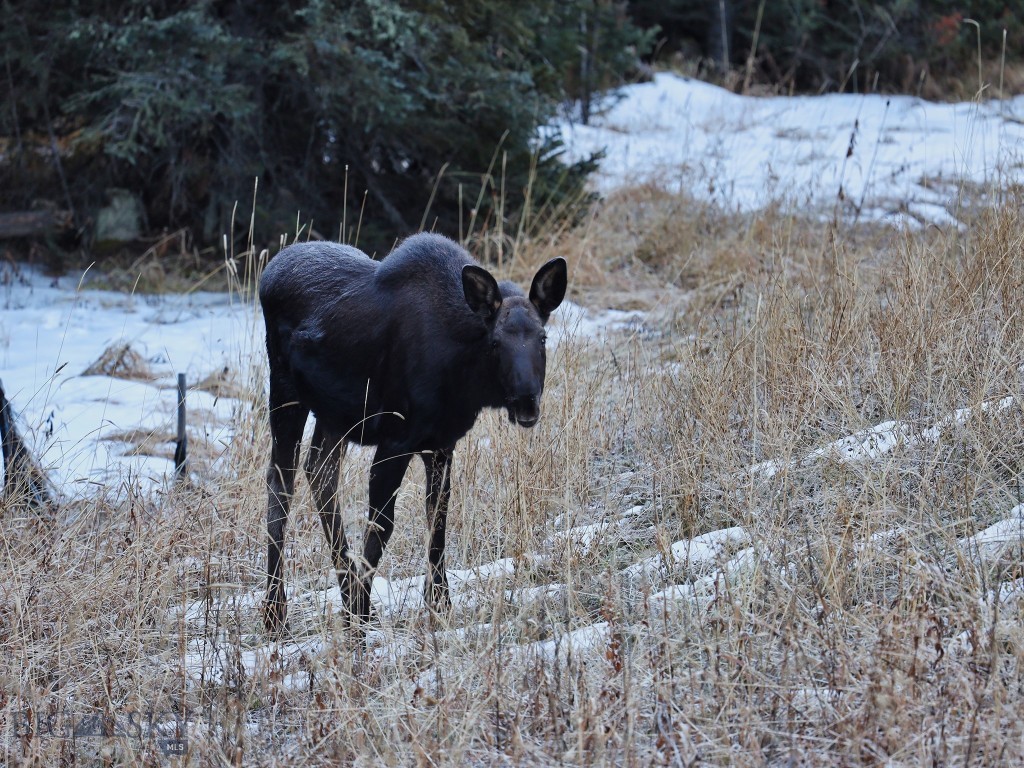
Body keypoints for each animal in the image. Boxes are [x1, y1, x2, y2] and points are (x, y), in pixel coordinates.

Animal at [258, 236, 569, 638]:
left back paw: (341, 593)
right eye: (495, 343)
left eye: (542, 338)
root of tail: (268, 274)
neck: (462, 379)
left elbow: (437, 519)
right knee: (281, 484)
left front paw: (437, 606)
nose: (527, 401)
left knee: (321, 474)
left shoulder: (441, 444)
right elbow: (382, 526)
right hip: (285, 393)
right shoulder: (395, 441)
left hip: (334, 415)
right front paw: (359, 618)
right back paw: (275, 613)